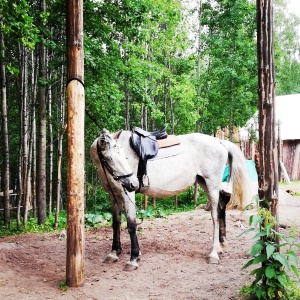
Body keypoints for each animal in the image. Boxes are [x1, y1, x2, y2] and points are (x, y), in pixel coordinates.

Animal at [90, 129, 252, 272]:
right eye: (110, 158)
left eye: (124, 156)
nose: (133, 183)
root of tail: (219, 141)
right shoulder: (114, 195)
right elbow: (116, 223)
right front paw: (113, 253)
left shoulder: (128, 194)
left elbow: (131, 224)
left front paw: (133, 259)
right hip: (204, 182)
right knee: (221, 205)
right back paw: (220, 246)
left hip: (212, 183)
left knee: (215, 216)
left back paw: (213, 254)